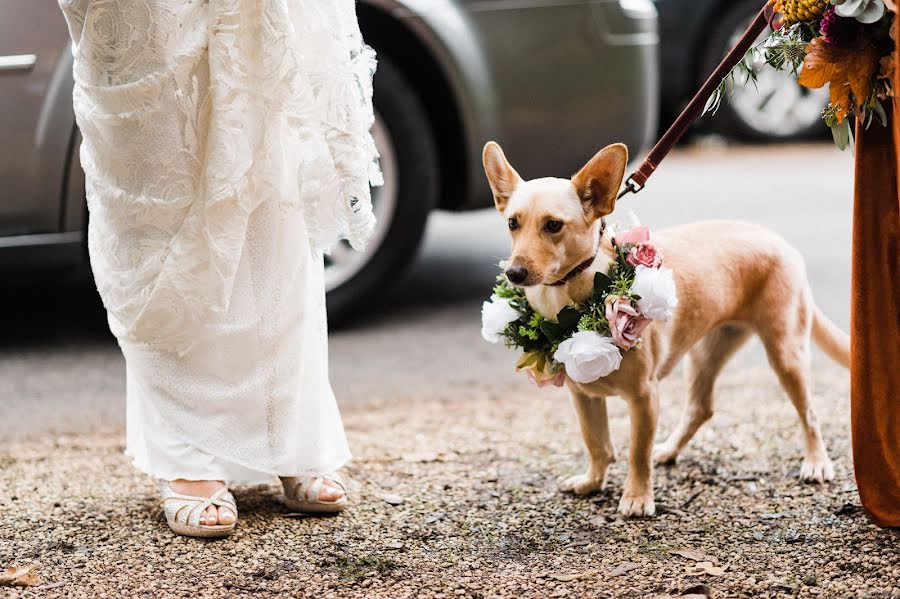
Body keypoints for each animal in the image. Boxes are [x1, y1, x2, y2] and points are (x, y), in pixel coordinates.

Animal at [482, 142, 848, 520]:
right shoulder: (583, 397)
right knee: (701, 408)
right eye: (512, 223)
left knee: (809, 413)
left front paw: (637, 497)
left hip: (786, 355)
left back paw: (816, 462)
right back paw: (670, 450)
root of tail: (779, 240)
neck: (570, 300)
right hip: (704, 354)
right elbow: (596, 443)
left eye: (553, 225)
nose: (514, 273)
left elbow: (636, 454)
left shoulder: (645, 397)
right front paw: (593, 481)